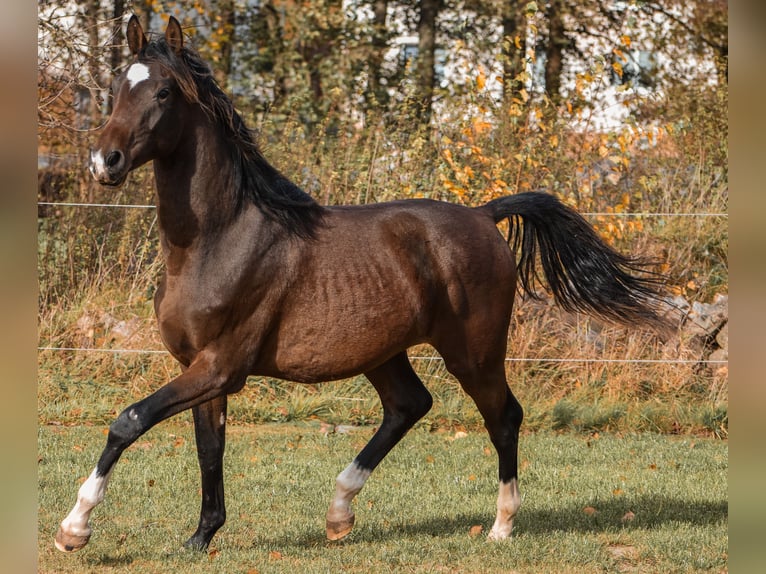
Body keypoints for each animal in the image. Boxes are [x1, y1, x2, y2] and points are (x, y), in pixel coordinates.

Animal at [55, 15, 669, 553]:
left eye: (163, 93)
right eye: (118, 87)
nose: (104, 161)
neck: (218, 239)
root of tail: (483, 214)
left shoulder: (220, 366)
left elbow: (129, 420)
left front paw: (74, 529)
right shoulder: (202, 370)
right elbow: (209, 451)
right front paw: (201, 537)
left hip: (474, 352)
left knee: (503, 417)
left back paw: (500, 527)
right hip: (383, 351)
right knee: (409, 405)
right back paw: (338, 513)